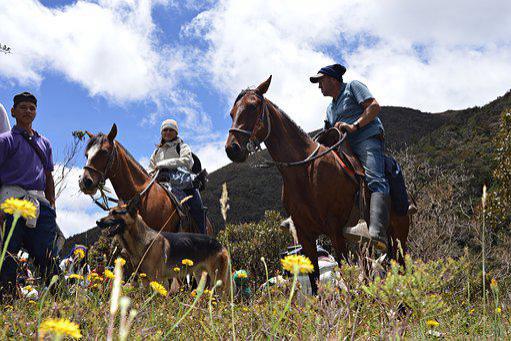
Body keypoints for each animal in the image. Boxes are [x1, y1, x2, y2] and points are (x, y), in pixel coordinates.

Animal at [95, 199, 230, 294]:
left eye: (115, 213)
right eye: (109, 212)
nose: (97, 222)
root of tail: (220, 244)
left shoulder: (158, 281)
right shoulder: (145, 281)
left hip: (218, 281)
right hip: (200, 276)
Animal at [226, 76, 410, 292]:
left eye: (253, 106)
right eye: (231, 113)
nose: (232, 149)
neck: (305, 171)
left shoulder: (335, 229)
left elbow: (345, 275)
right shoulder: (305, 235)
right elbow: (314, 283)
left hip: (398, 233)